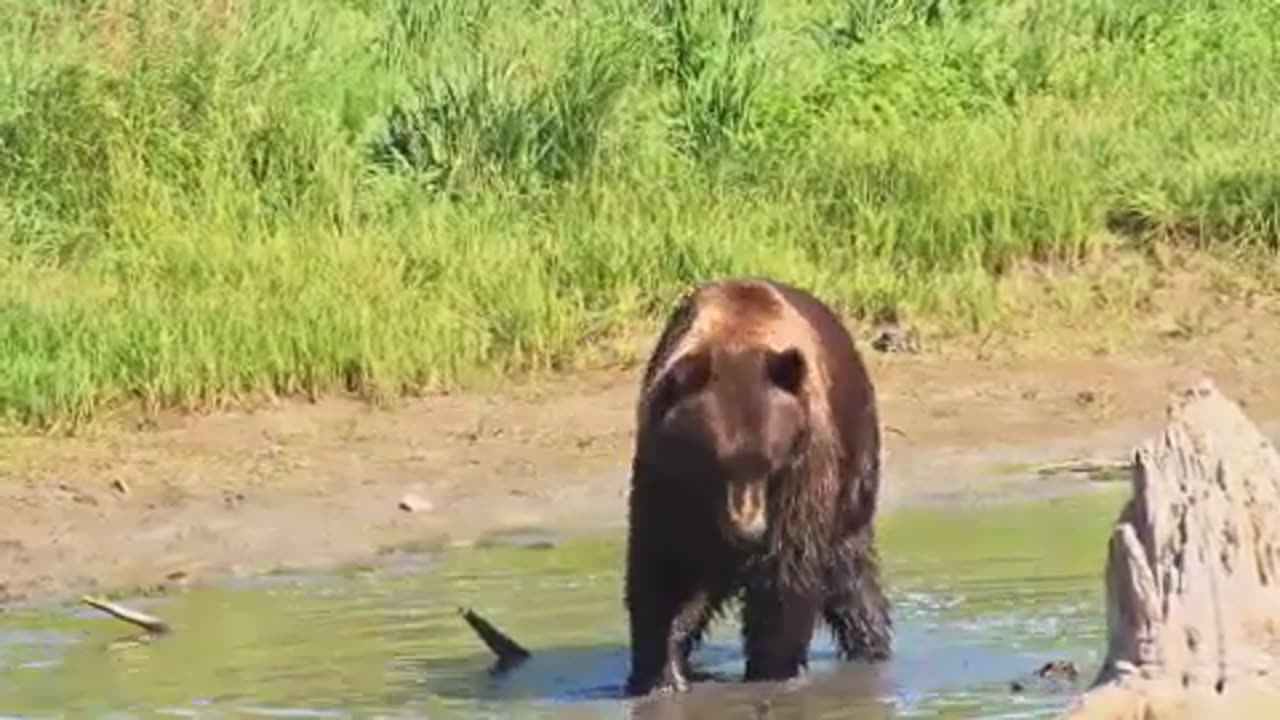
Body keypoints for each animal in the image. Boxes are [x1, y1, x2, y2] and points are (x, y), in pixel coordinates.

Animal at [622, 275, 890, 696]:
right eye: (715, 465)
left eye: (770, 463)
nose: (748, 533)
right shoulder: (666, 477)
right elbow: (663, 570)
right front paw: (660, 677)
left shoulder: (801, 471)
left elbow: (787, 573)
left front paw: (770, 672)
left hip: (853, 468)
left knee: (851, 573)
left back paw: (871, 645)